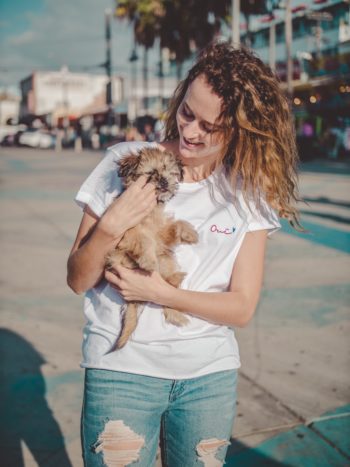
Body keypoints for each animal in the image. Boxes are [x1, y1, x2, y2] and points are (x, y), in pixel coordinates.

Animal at [106, 148, 198, 350]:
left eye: (168, 171)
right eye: (150, 173)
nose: (164, 181)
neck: (151, 210)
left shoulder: (161, 235)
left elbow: (174, 226)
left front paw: (189, 233)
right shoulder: (129, 232)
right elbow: (144, 241)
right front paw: (148, 261)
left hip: (166, 259)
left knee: (168, 291)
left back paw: (176, 284)